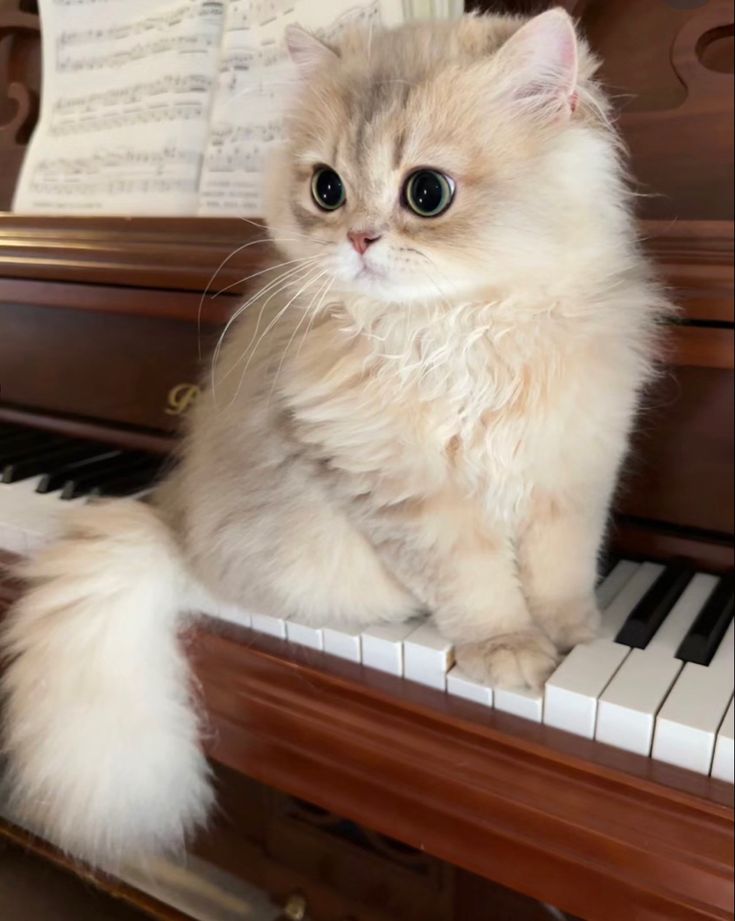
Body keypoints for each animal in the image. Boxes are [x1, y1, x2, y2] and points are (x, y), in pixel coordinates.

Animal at [0, 10, 668, 868]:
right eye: (327, 188)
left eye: (426, 192)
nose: (356, 239)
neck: (459, 327)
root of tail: (173, 521)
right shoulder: (406, 489)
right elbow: (479, 582)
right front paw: (509, 651)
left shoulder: (574, 469)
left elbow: (559, 570)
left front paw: (574, 637)